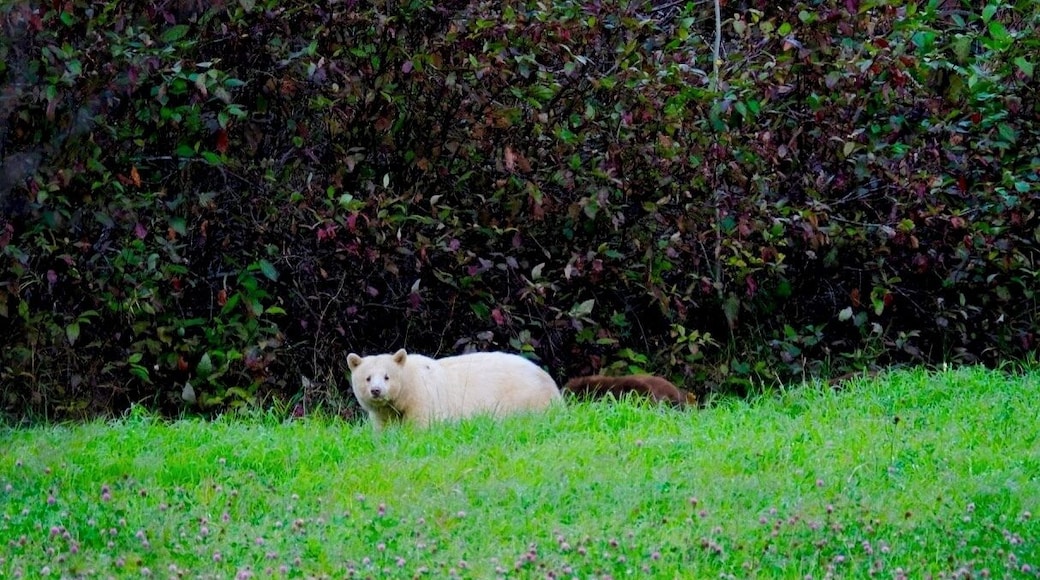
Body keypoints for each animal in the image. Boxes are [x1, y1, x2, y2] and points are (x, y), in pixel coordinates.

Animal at [346, 349, 561, 430]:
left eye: (387, 376)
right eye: (367, 378)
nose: (376, 391)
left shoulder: (424, 396)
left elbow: (421, 424)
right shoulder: (384, 412)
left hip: (526, 397)